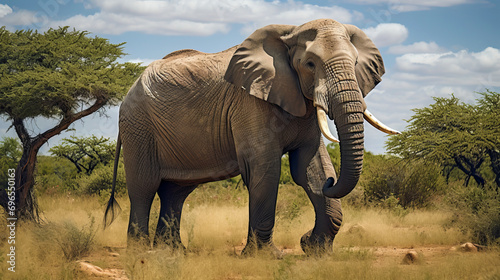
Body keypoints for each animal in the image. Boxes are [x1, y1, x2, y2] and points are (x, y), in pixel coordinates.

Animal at [104, 18, 398, 256]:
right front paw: (268, 256)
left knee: (175, 192)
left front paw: (316, 251)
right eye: (310, 64)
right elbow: (265, 168)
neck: (290, 33)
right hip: (138, 126)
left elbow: (309, 167)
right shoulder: (249, 103)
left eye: (356, 63)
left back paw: (173, 252)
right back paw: (141, 252)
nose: (331, 183)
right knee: (144, 187)